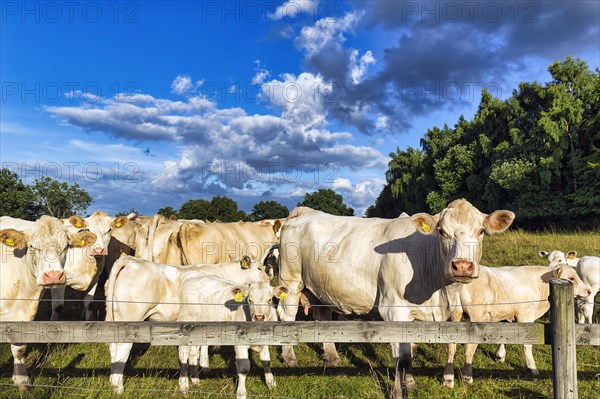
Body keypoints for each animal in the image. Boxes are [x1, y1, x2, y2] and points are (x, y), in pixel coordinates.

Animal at [105, 256, 270, 394]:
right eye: (259, 268)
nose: (269, 280)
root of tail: (131, 260)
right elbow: (199, 349)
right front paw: (201, 372)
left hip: (117, 318)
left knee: (113, 347)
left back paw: (113, 381)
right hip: (132, 318)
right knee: (123, 349)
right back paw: (118, 387)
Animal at [276, 200, 516, 396]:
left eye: (481, 230)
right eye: (441, 231)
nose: (462, 266)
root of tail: (303, 211)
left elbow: (410, 352)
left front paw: (411, 385)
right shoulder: (393, 309)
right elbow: (401, 357)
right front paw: (399, 392)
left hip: (321, 287)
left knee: (323, 316)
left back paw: (332, 357)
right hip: (291, 281)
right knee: (286, 315)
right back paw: (290, 358)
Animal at [446, 264, 592, 390]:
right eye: (571, 278)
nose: (589, 291)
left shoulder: (509, 315)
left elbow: (505, 337)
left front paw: (500, 356)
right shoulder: (525, 316)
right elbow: (527, 344)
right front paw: (532, 368)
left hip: (454, 317)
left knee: (451, 346)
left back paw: (448, 379)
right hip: (475, 318)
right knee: (469, 347)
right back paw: (467, 377)